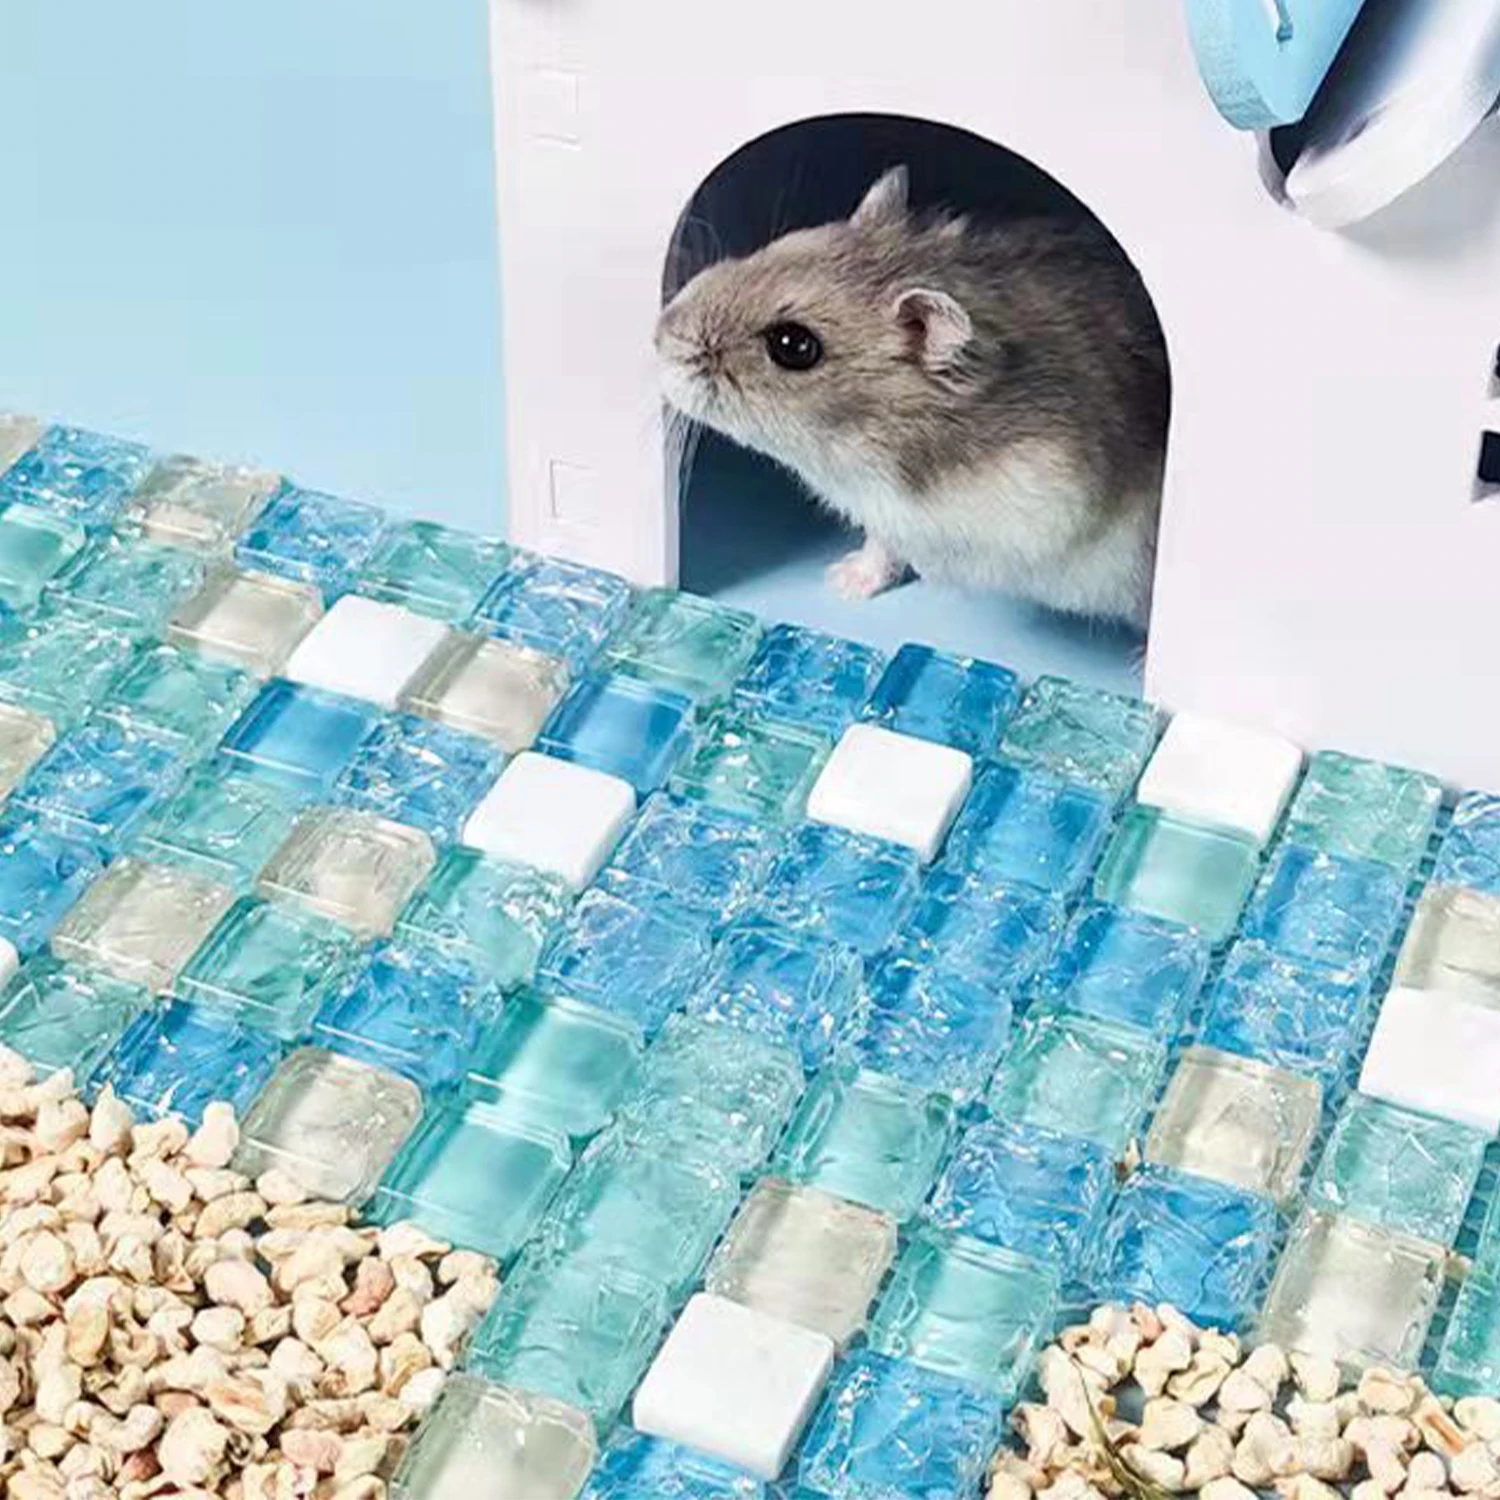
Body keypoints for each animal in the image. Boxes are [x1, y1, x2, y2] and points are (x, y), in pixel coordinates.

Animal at [655, 166, 1170, 629]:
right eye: (775, 245)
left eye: (794, 346)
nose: (659, 336)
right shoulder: (889, 514)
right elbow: (882, 544)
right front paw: (841, 582)